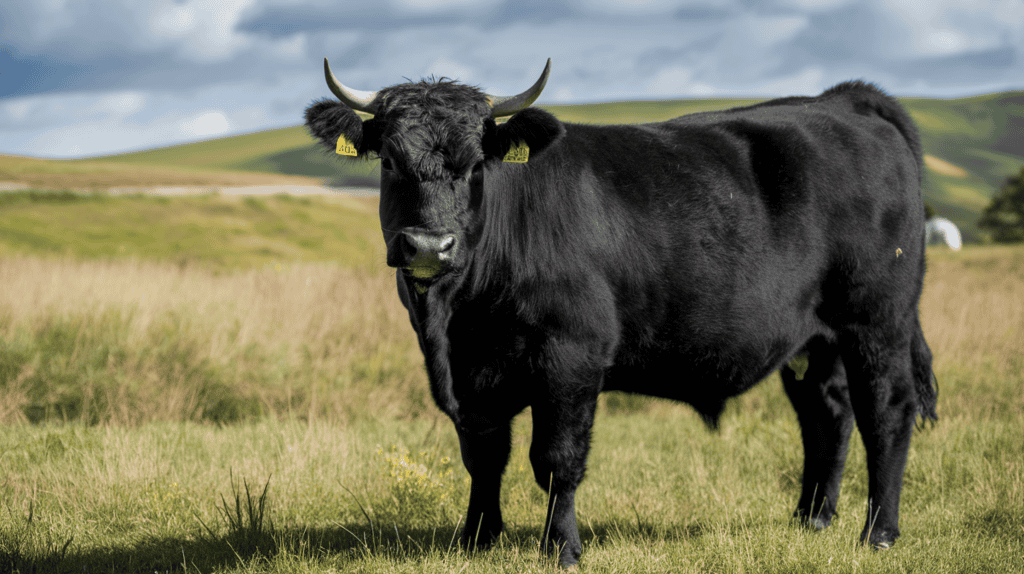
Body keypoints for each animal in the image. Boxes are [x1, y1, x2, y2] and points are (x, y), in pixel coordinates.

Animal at [305, 58, 938, 567]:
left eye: (475, 166)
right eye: (389, 161)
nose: (429, 247)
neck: (459, 318)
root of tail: (843, 99)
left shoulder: (571, 358)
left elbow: (555, 459)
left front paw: (561, 548)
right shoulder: (468, 377)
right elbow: (484, 457)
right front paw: (475, 541)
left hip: (877, 320)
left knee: (886, 411)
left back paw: (878, 532)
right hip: (815, 339)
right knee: (827, 413)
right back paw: (811, 519)